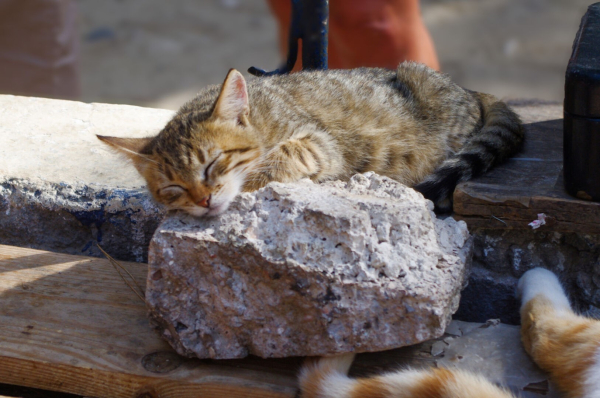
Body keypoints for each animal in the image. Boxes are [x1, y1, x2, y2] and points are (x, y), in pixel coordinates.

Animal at [96, 62, 524, 216]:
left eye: (213, 163)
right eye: (172, 188)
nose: (203, 201)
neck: (262, 120)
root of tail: (469, 90)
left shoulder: (322, 143)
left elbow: (287, 154)